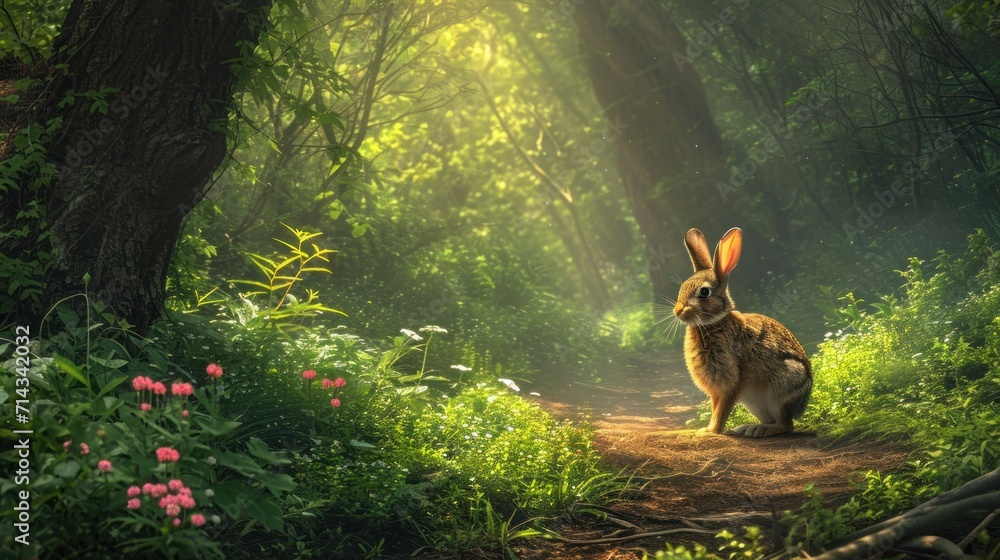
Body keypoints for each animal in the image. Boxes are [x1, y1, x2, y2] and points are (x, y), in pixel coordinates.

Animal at [673, 227, 812, 437]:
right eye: (682, 288)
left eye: (704, 292)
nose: (678, 311)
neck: (714, 323)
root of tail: (803, 403)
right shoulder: (716, 390)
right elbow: (715, 407)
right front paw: (707, 429)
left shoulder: (732, 381)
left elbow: (722, 409)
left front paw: (711, 431)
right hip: (755, 404)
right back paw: (746, 428)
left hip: (780, 390)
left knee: (786, 424)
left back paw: (758, 430)